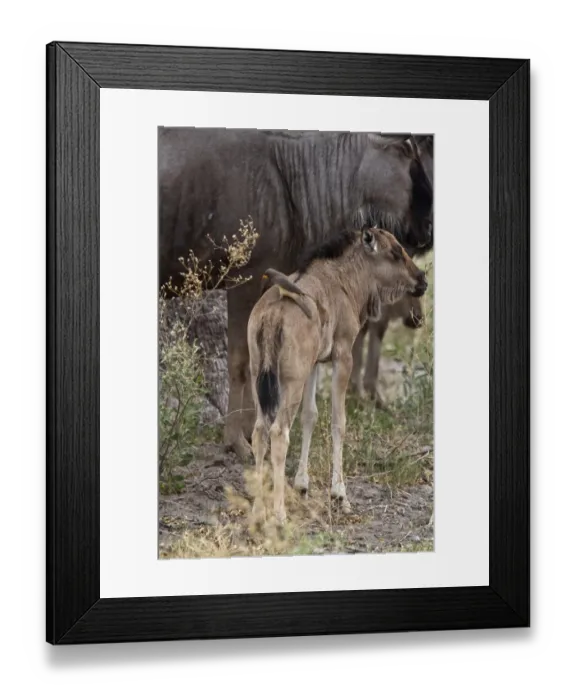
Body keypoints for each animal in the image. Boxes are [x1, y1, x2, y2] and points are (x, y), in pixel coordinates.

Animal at [159, 128, 433, 459]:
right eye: (409, 154)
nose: (427, 229)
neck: (292, 174)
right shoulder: (244, 281)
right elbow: (241, 362)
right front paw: (237, 441)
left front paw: (252, 431)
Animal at [246, 227, 428, 525]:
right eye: (395, 252)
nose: (422, 280)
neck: (345, 281)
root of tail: (271, 317)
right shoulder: (343, 356)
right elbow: (338, 421)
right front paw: (339, 494)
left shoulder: (315, 364)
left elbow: (310, 416)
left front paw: (303, 484)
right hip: (290, 382)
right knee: (279, 433)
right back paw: (279, 514)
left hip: (258, 377)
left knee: (259, 431)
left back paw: (258, 510)